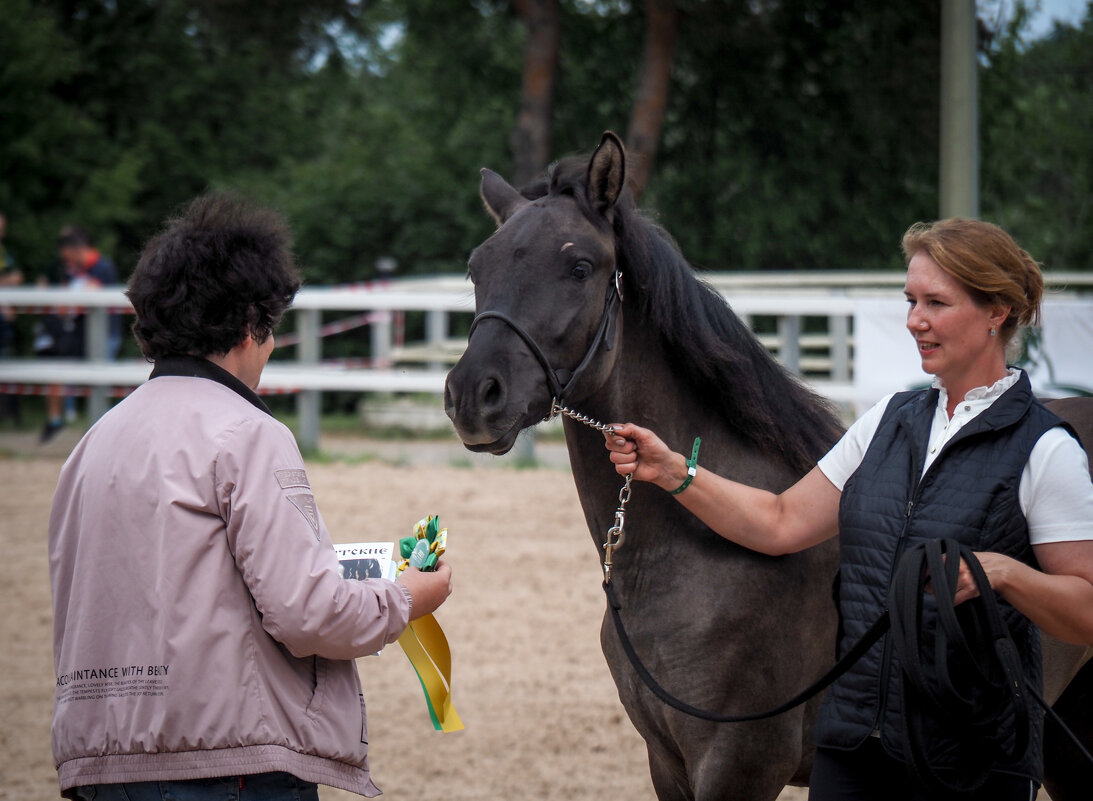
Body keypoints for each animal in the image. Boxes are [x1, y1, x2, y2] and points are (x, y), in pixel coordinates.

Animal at [445, 132, 1093, 799]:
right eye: (477, 269)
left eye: (579, 267)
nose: (473, 394)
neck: (689, 559)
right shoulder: (667, 763)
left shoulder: (741, 763)